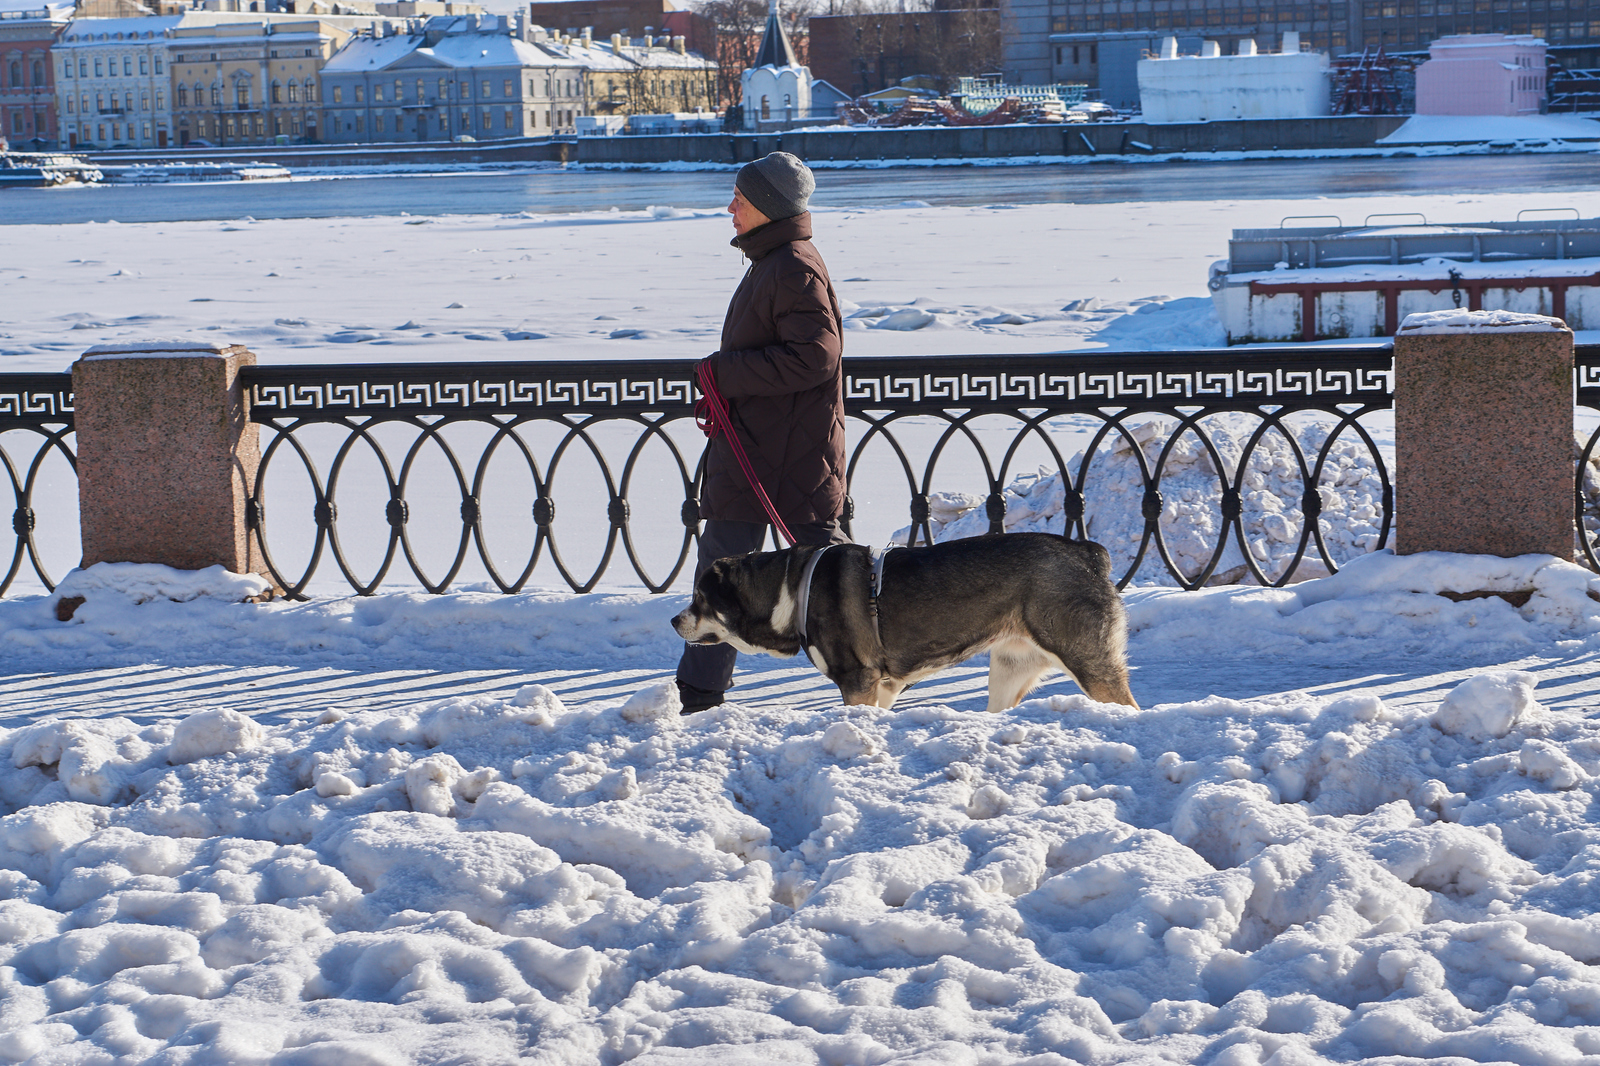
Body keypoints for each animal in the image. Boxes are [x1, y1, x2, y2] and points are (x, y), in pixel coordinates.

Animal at [672, 528, 1139, 710]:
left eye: (699, 598)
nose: (675, 621)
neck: (792, 589)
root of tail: (1089, 553)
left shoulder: (857, 681)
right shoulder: (883, 686)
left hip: (1087, 661)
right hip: (1009, 670)